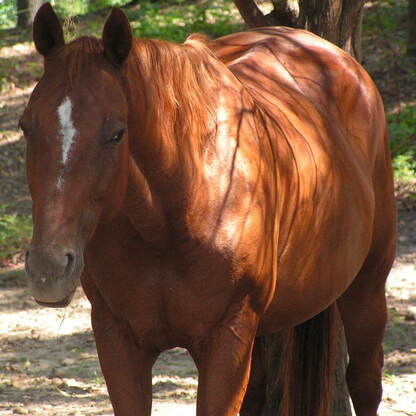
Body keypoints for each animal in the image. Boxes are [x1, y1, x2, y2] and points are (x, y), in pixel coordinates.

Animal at [22, 3, 396, 416]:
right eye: (26, 127)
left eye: (117, 133)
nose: (47, 270)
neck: (170, 223)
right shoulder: (118, 339)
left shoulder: (226, 340)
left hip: (367, 287)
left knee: (365, 381)